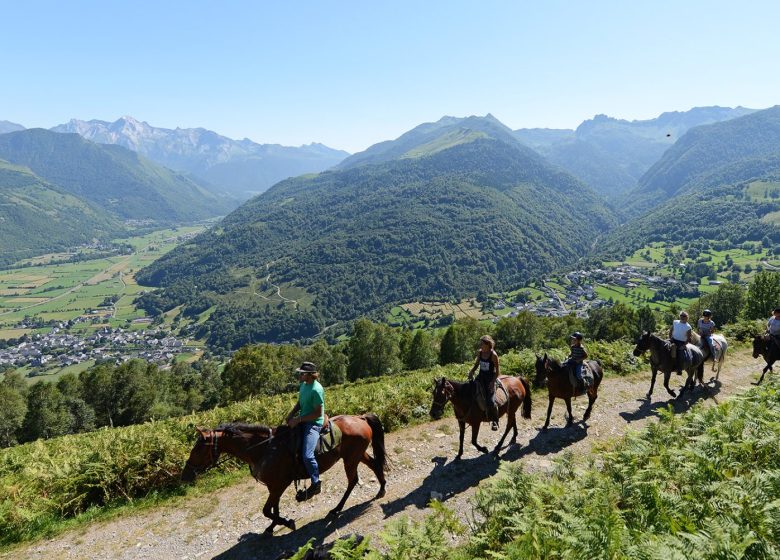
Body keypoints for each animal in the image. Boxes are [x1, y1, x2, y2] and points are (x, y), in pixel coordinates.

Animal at [184, 414, 390, 536]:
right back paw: (381, 490)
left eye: (198, 448)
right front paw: (272, 527)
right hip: (356, 455)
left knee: (353, 480)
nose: (185, 475)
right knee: (374, 465)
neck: (264, 449)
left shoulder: (280, 484)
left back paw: (336, 509)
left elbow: (267, 510)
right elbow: (273, 509)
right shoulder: (273, 486)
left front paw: (287, 523)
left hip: (351, 459)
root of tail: (360, 417)